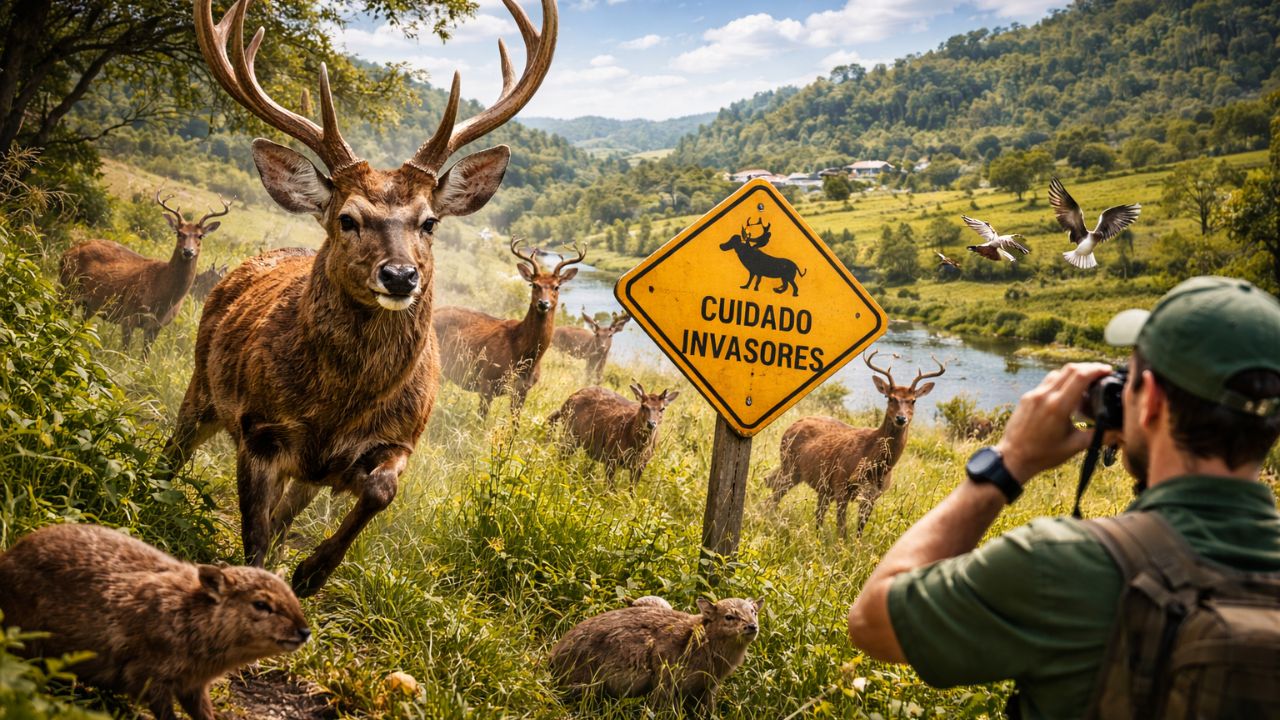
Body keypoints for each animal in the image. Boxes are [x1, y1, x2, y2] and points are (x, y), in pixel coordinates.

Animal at [59, 192, 229, 351]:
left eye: (200, 236)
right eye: (179, 233)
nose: (188, 251)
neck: (163, 295)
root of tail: (66, 252)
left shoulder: (156, 326)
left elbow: (143, 359)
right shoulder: (129, 315)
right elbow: (124, 354)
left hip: (88, 305)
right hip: (67, 288)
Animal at [162, 0, 557, 598]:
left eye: (429, 222)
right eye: (347, 218)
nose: (400, 276)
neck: (338, 407)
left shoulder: (399, 439)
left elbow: (376, 492)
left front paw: (312, 572)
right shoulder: (258, 427)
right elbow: (254, 536)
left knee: (288, 511)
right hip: (201, 385)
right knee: (173, 451)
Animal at [434, 238, 584, 417]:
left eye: (557, 286)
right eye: (534, 285)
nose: (543, 303)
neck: (523, 353)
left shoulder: (522, 390)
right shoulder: (487, 379)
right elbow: (481, 420)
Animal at [547, 382, 678, 484]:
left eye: (662, 408)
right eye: (643, 406)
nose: (651, 424)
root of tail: (567, 401)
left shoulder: (641, 465)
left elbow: (632, 493)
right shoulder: (611, 455)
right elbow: (610, 489)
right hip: (570, 433)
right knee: (561, 455)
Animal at [766, 351, 945, 538]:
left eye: (913, 400)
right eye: (890, 398)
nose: (901, 418)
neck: (876, 465)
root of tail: (791, 426)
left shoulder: (872, 496)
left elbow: (858, 531)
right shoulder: (841, 486)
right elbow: (842, 529)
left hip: (811, 481)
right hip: (791, 467)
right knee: (774, 495)